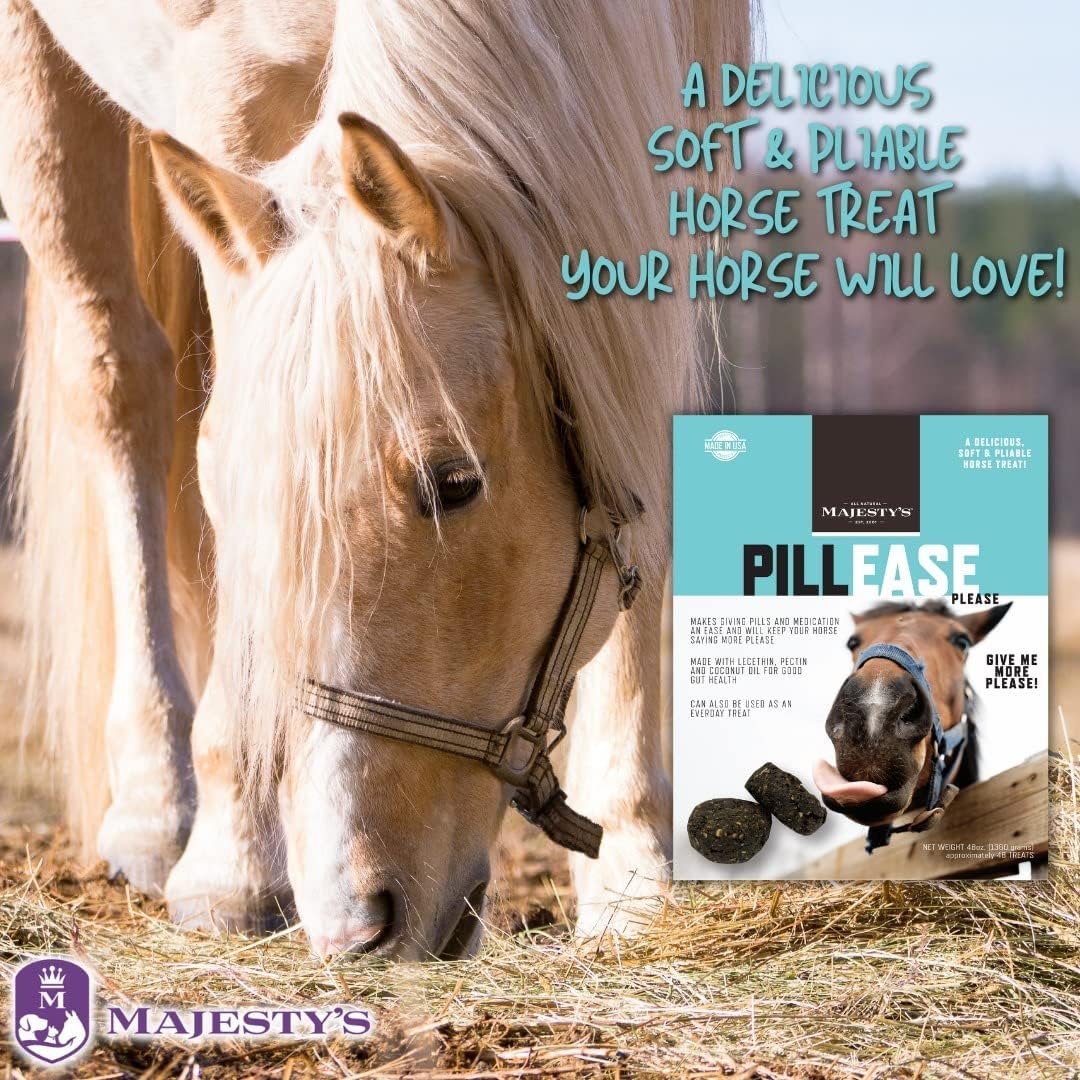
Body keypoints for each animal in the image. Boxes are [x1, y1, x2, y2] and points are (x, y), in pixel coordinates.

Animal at [1, 0, 751, 958]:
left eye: (451, 483)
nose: (355, 922)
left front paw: (634, 878)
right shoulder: (224, 79)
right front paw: (234, 862)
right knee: (119, 375)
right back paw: (161, 809)